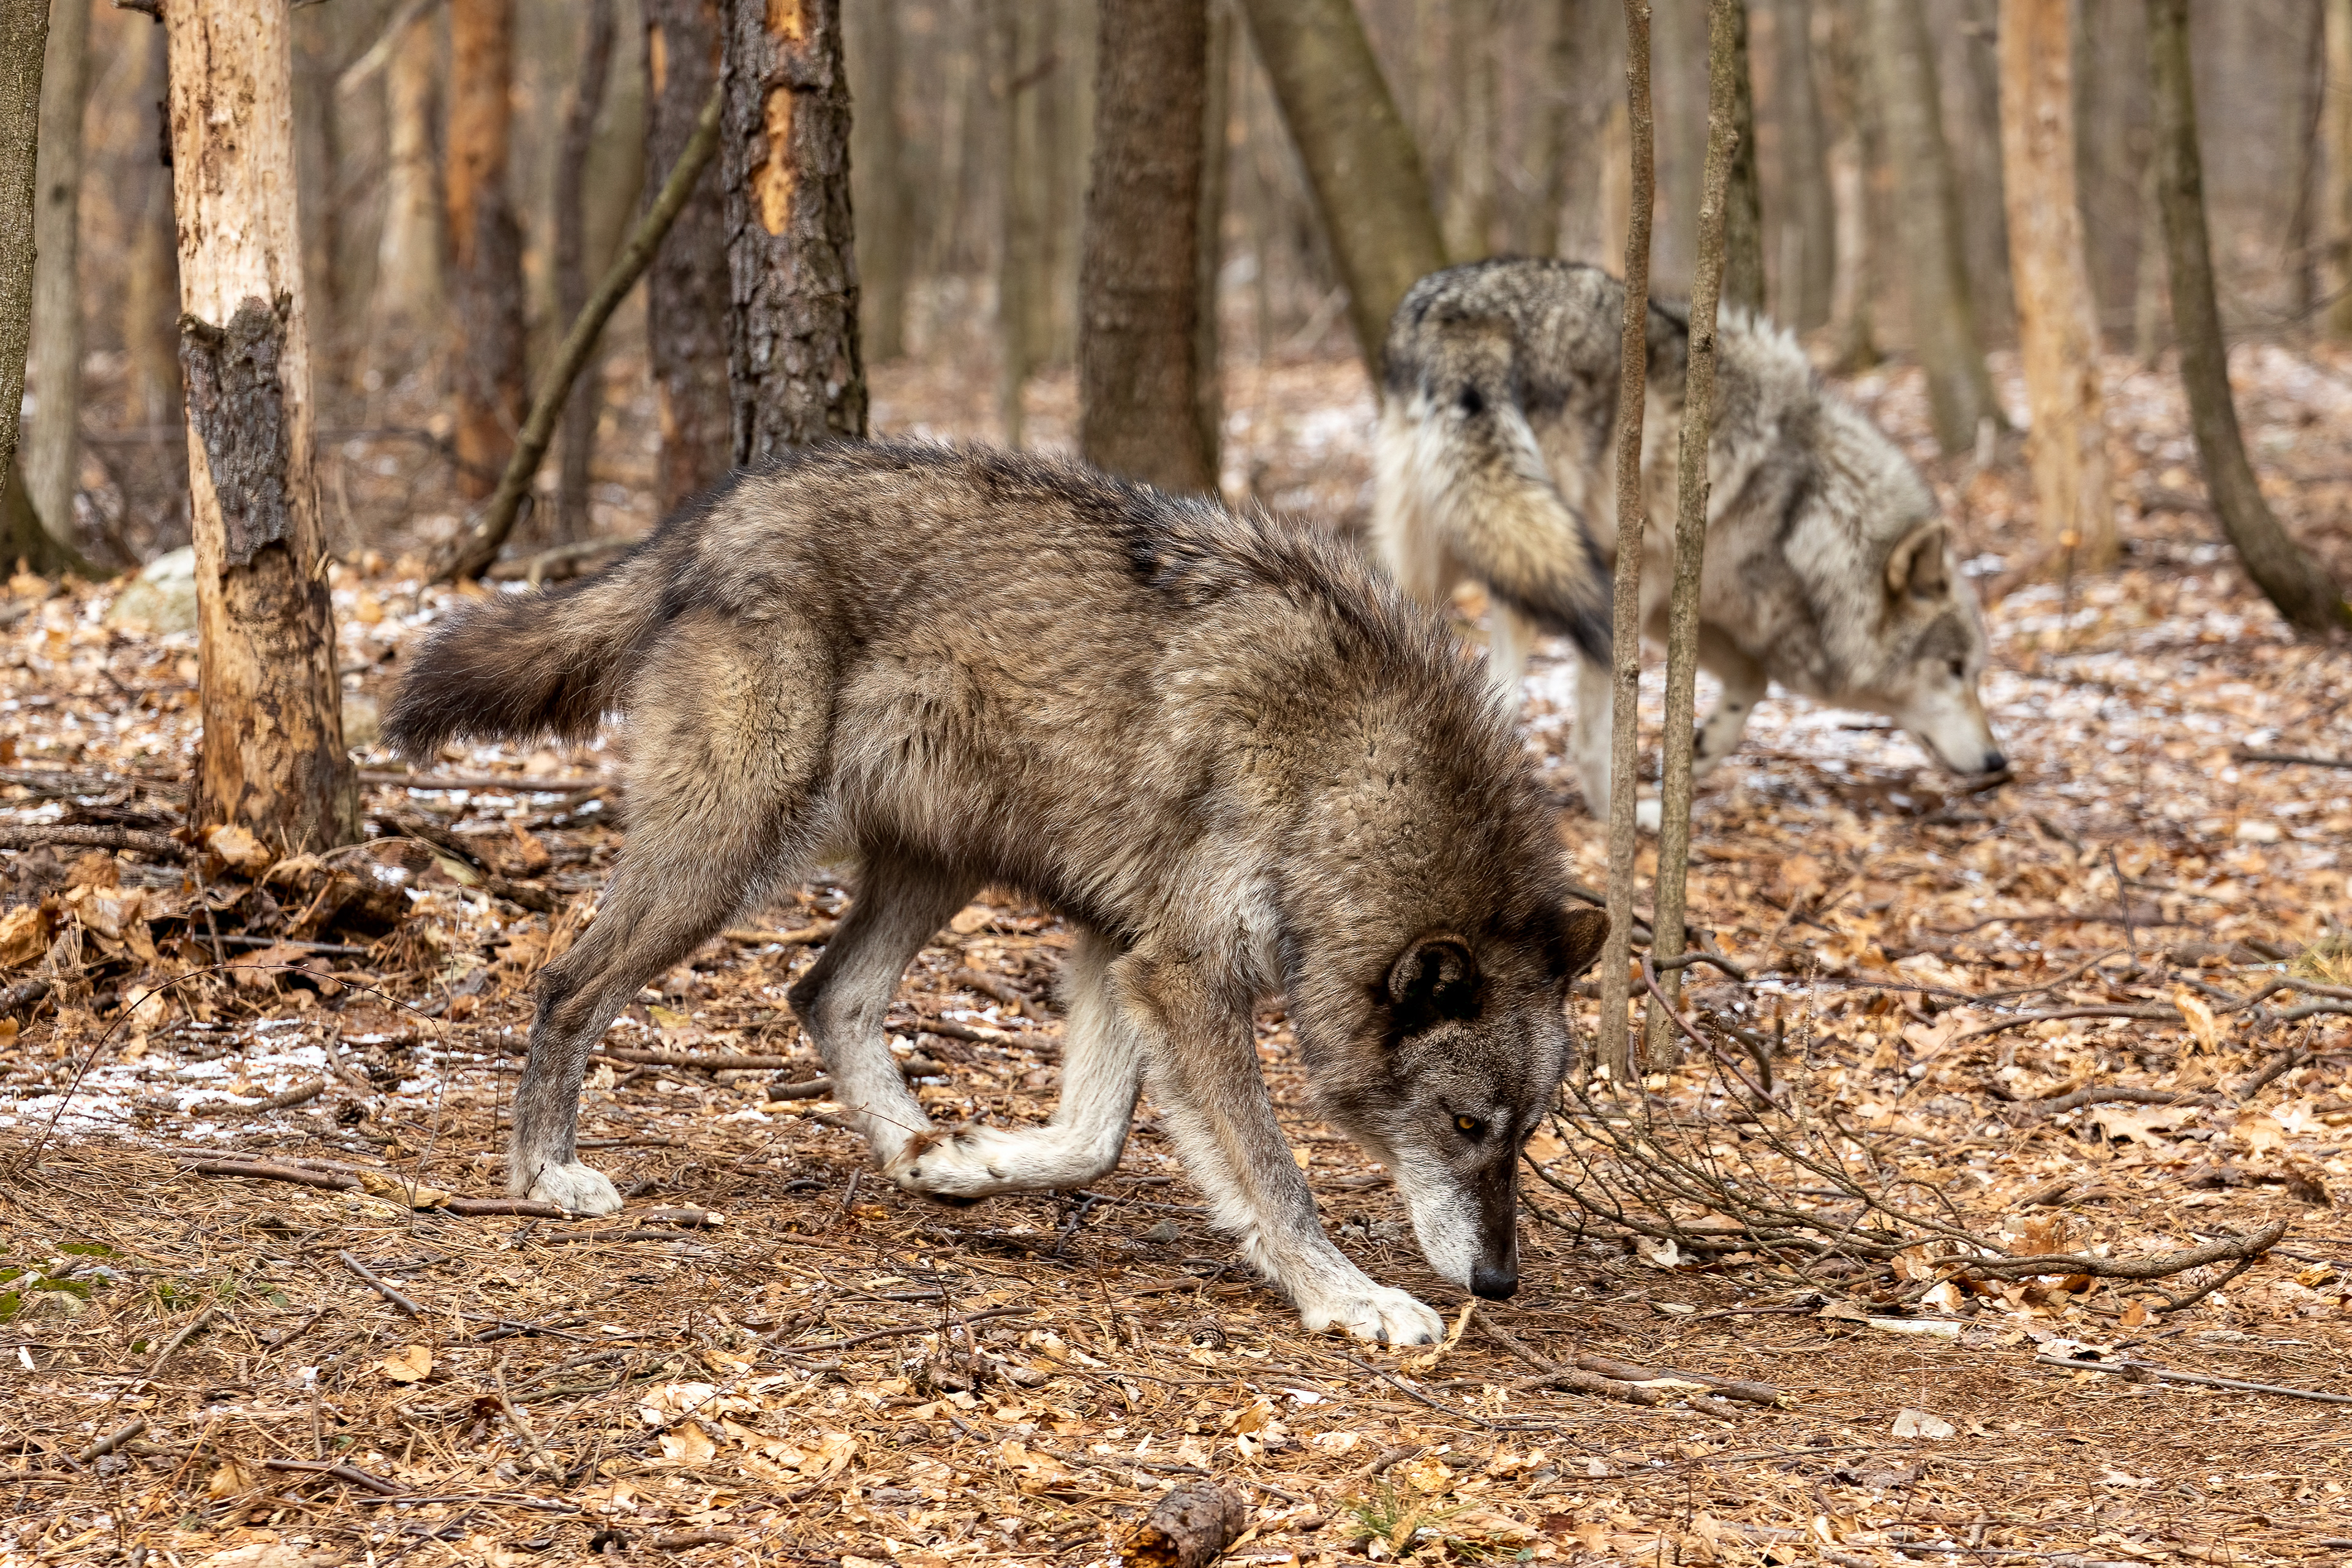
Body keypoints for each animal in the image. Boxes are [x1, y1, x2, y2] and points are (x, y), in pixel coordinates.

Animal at [385, 442, 1609, 1345]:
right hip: (727, 854)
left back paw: (909, 1149)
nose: (1500, 1283)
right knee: (568, 986)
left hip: (937, 861)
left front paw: (963, 1163)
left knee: (824, 994)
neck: (1347, 774)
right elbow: (1273, 1175)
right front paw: (1351, 1299)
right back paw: (546, 1176)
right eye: (1464, 1123)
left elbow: (1095, 1142)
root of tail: (728, 504)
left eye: (1527, 1132)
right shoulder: (1183, 972)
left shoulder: (1124, 948)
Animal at [1372, 258, 2005, 820]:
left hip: (1435, 568)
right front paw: (1623, 816)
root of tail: (1464, 311)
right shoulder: (1642, 597)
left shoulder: (1688, 607)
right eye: (1955, 669)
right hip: (1548, 561)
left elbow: (1752, 679)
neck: (1806, 512)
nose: (1999, 763)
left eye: (1974, 672)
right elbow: (1598, 736)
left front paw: (1699, 753)